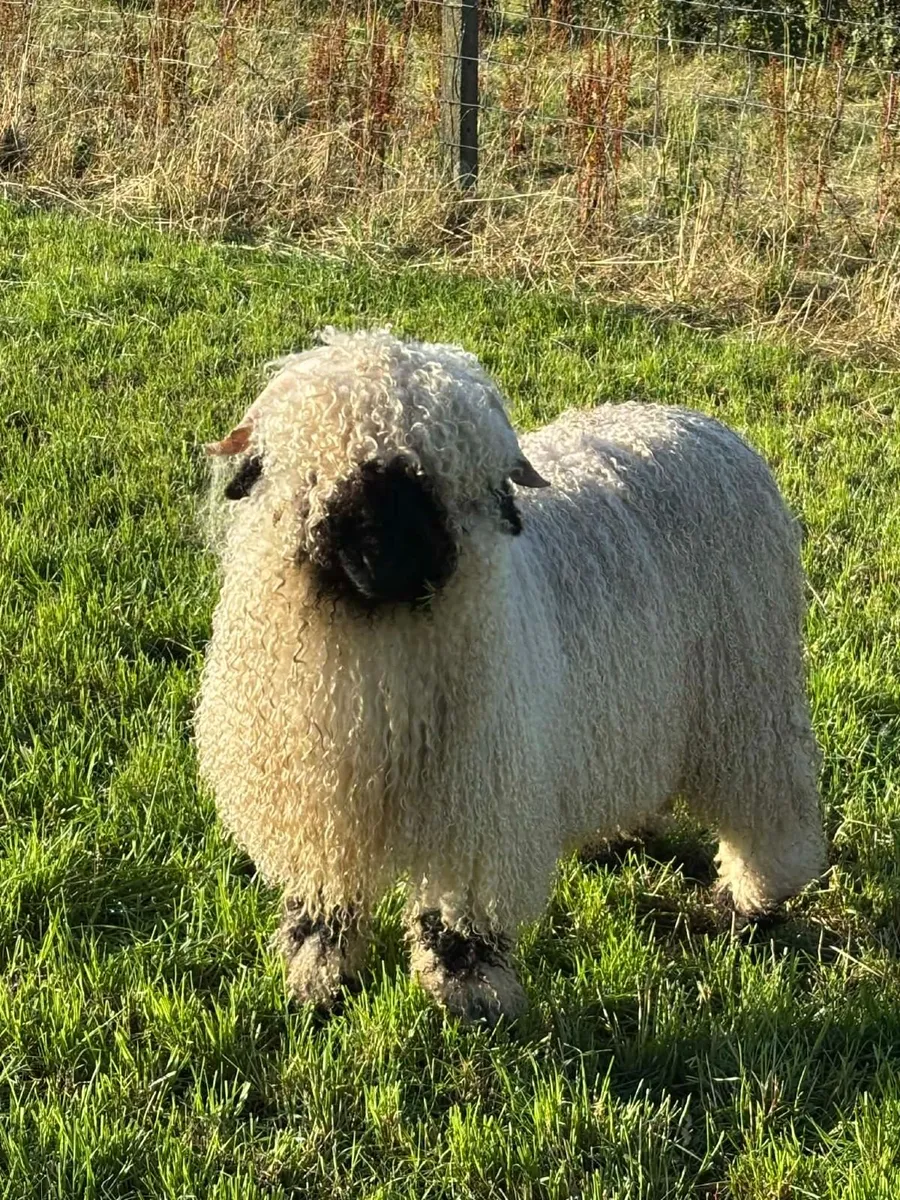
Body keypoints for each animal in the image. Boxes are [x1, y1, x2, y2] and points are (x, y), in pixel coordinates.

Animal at [195, 327, 825, 1025]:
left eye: (445, 481)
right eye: (329, 478)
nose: (397, 562)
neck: (381, 643)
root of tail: (700, 423)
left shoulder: (479, 793)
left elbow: (460, 910)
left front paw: (471, 996)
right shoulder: (314, 797)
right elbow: (323, 898)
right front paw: (318, 978)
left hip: (748, 690)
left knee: (770, 799)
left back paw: (752, 901)